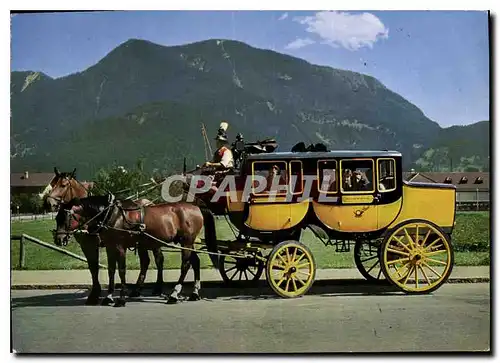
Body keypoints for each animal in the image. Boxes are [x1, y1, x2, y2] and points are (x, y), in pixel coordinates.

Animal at [46, 170, 166, 304]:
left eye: (63, 185)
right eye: (52, 184)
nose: (49, 203)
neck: (98, 215)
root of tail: (150, 202)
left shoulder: (95, 244)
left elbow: (98, 267)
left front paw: (96, 294)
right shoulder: (89, 246)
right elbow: (95, 268)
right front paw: (99, 294)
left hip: (153, 242)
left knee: (159, 259)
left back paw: (158, 288)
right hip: (142, 244)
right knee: (145, 261)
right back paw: (136, 290)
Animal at [53, 195, 218, 306]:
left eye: (65, 217)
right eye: (56, 217)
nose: (58, 239)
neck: (111, 215)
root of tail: (195, 206)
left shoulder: (119, 247)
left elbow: (121, 271)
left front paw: (121, 299)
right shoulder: (110, 247)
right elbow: (111, 271)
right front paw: (109, 297)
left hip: (187, 241)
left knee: (185, 265)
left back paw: (174, 294)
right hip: (188, 242)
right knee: (195, 262)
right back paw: (194, 292)